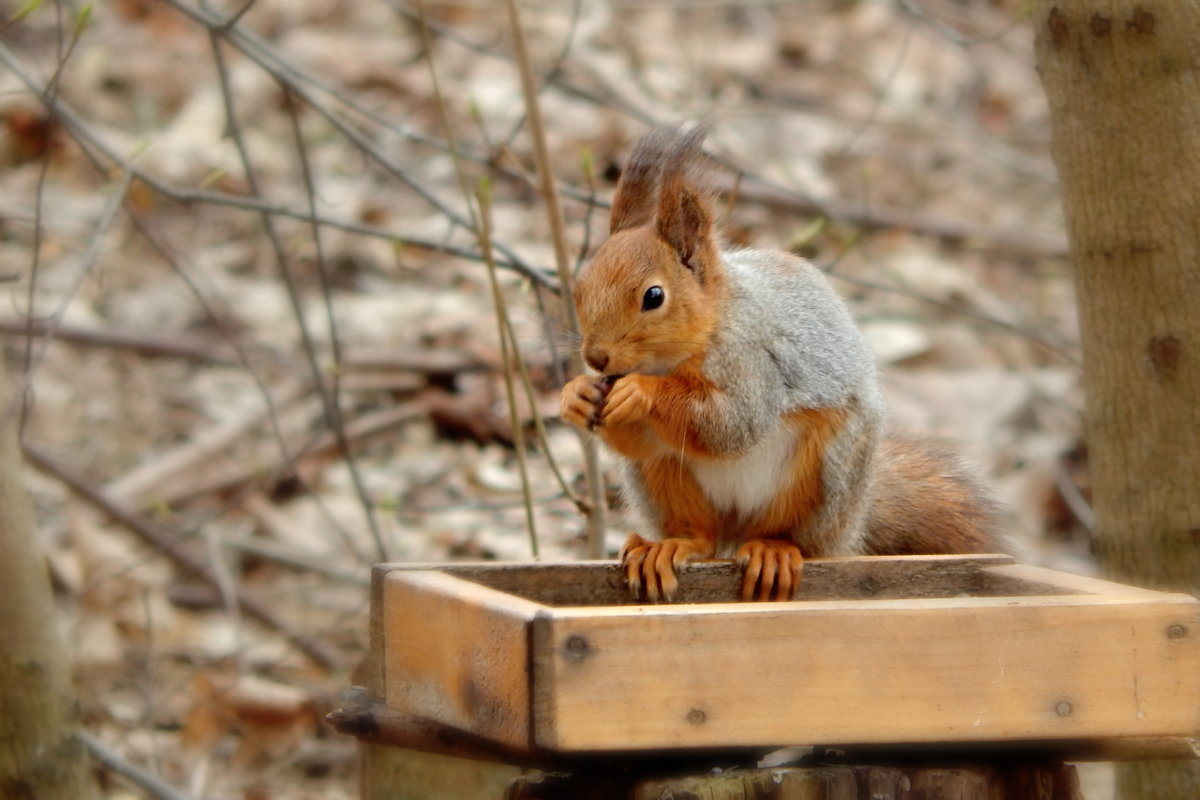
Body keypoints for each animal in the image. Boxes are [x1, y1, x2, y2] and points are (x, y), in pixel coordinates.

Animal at [556, 123, 998, 599]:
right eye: (579, 286)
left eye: (653, 296)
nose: (596, 357)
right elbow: (643, 441)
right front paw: (575, 395)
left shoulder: (755, 364)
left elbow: (730, 424)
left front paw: (641, 391)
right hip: (663, 480)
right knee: (699, 532)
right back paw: (669, 546)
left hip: (823, 475)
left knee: (796, 536)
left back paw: (774, 550)